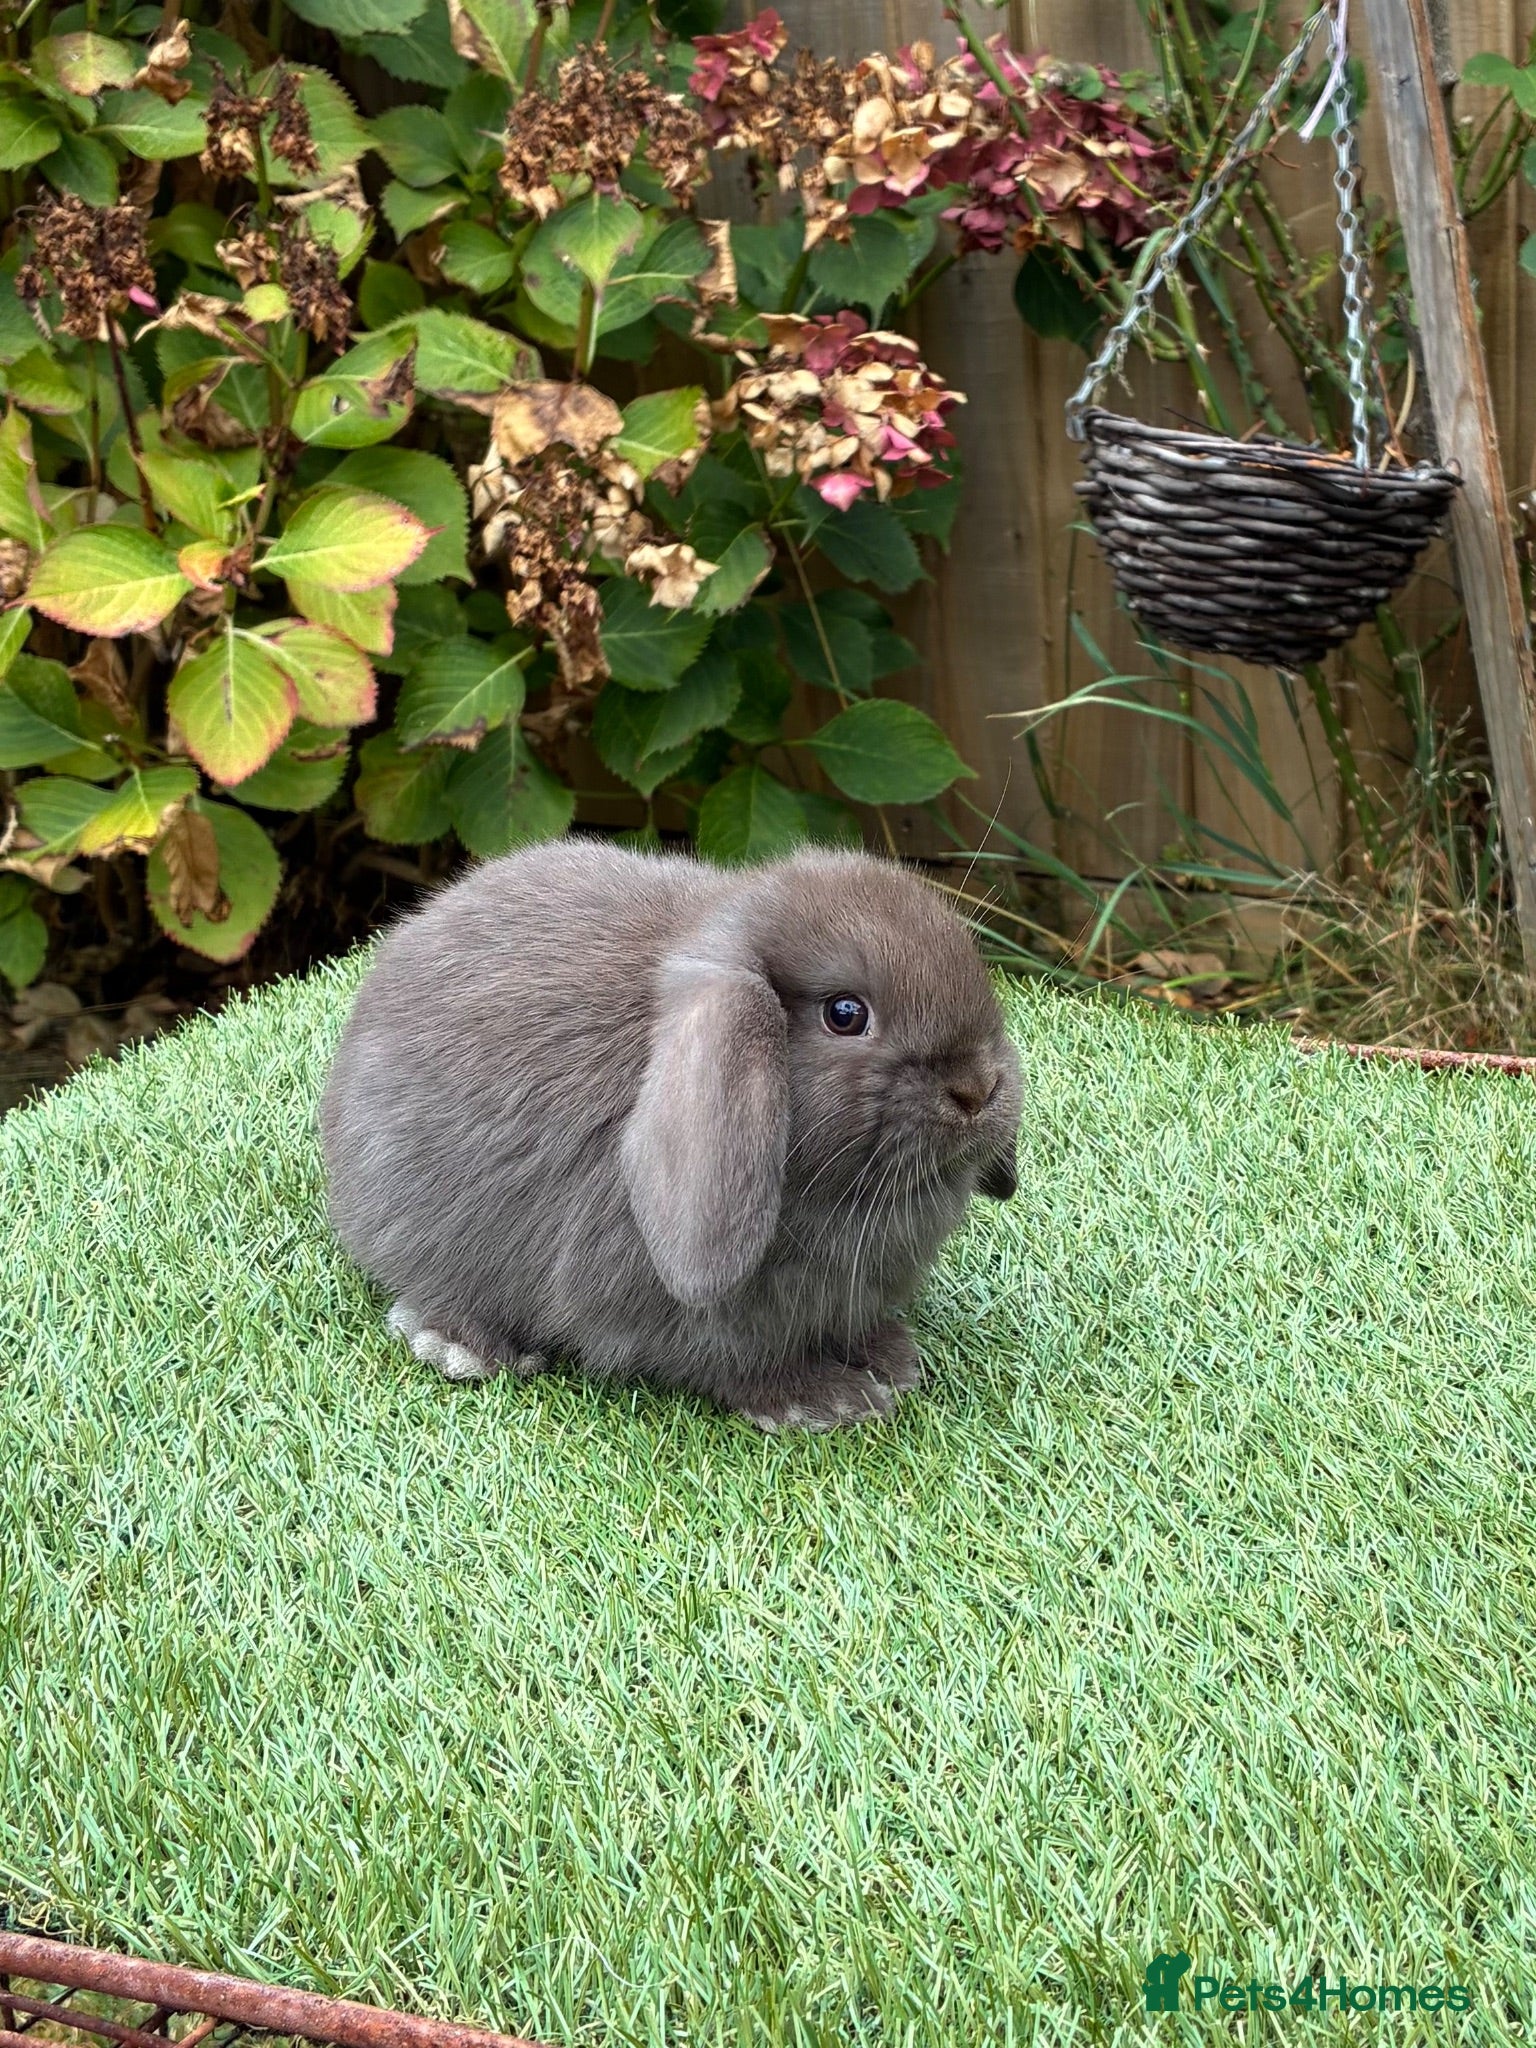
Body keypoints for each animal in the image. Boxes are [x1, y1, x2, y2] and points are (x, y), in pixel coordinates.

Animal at [320, 838, 1021, 1432]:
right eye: (845, 1014)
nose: (978, 1089)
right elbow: (736, 1364)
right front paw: (827, 1400)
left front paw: (893, 1358)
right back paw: (461, 1347)